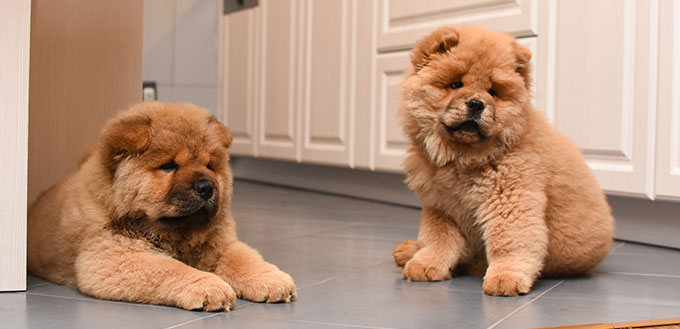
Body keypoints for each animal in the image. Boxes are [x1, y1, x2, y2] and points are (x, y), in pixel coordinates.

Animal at [27, 102, 296, 310]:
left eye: (209, 165)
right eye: (169, 166)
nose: (206, 187)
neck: (177, 233)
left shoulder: (220, 244)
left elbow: (244, 259)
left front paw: (273, 281)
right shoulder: (112, 258)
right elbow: (170, 268)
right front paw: (210, 287)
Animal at [390, 25, 612, 294]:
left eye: (493, 92)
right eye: (456, 84)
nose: (477, 103)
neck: (463, 158)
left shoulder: (509, 198)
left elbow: (508, 240)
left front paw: (505, 278)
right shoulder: (441, 207)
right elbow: (438, 238)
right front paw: (425, 264)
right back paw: (408, 250)